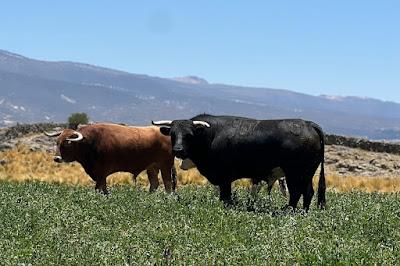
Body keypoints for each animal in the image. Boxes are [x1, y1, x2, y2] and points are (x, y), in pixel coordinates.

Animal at [44, 122, 177, 193]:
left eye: (67, 143)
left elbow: (99, 188)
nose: (56, 158)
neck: (91, 141)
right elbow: (103, 189)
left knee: (168, 184)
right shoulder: (100, 174)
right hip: (152, 167)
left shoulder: (101, 173)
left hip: (165, 166)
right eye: (57, 142)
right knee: (154, 184)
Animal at [152, 114, 324, 210]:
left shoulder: (223, 177)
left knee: (296, 192)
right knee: (308, 192)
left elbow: (225, 196)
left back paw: (288, 210)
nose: (178, 150)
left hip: (294, 173)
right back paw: (303, 212)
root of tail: (309, 124)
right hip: (307, 174)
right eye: (173, 134)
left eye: (189, 134)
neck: (209, 135)